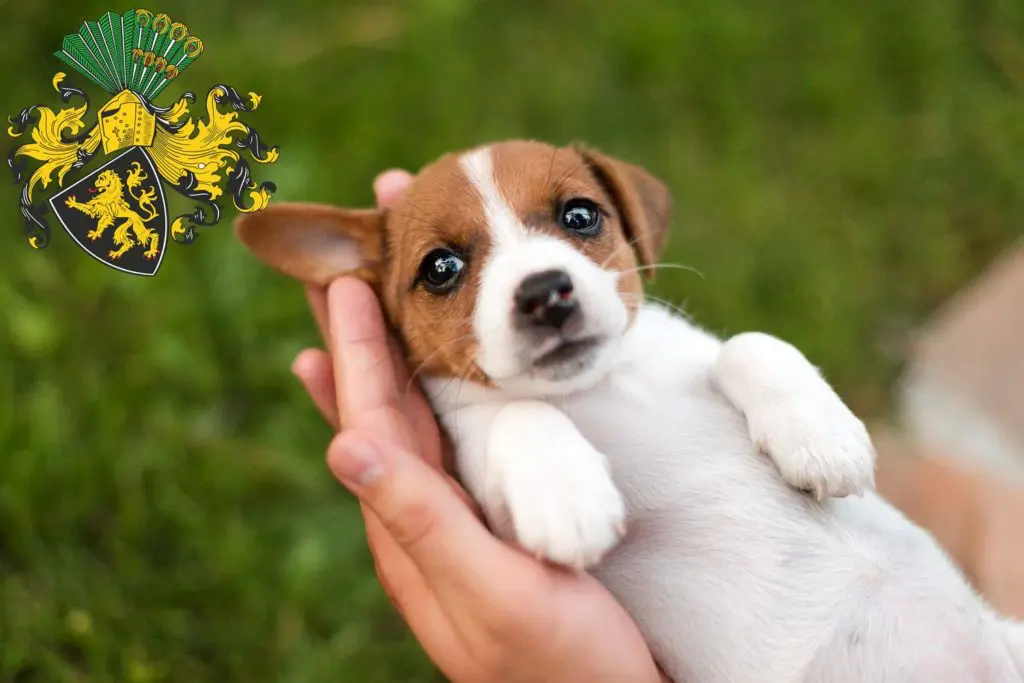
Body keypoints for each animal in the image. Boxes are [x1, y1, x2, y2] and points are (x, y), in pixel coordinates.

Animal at [234, 140, 1024, 683]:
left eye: (580, 214)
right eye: (441, 268)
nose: (545, 291)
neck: (602, 386)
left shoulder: (698, 354)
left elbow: (748, 343)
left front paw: (819, 434)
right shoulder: (482, 486)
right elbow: (518, 417)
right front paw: (568, 496)